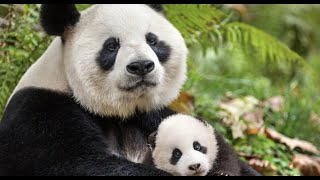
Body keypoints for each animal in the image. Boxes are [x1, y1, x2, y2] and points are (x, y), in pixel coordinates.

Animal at [0, 3, 260, 176]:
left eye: (152, 40)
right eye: (111, 46)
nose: (142, 66)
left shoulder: (154, 114)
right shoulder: (41, 115)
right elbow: (83, 164)